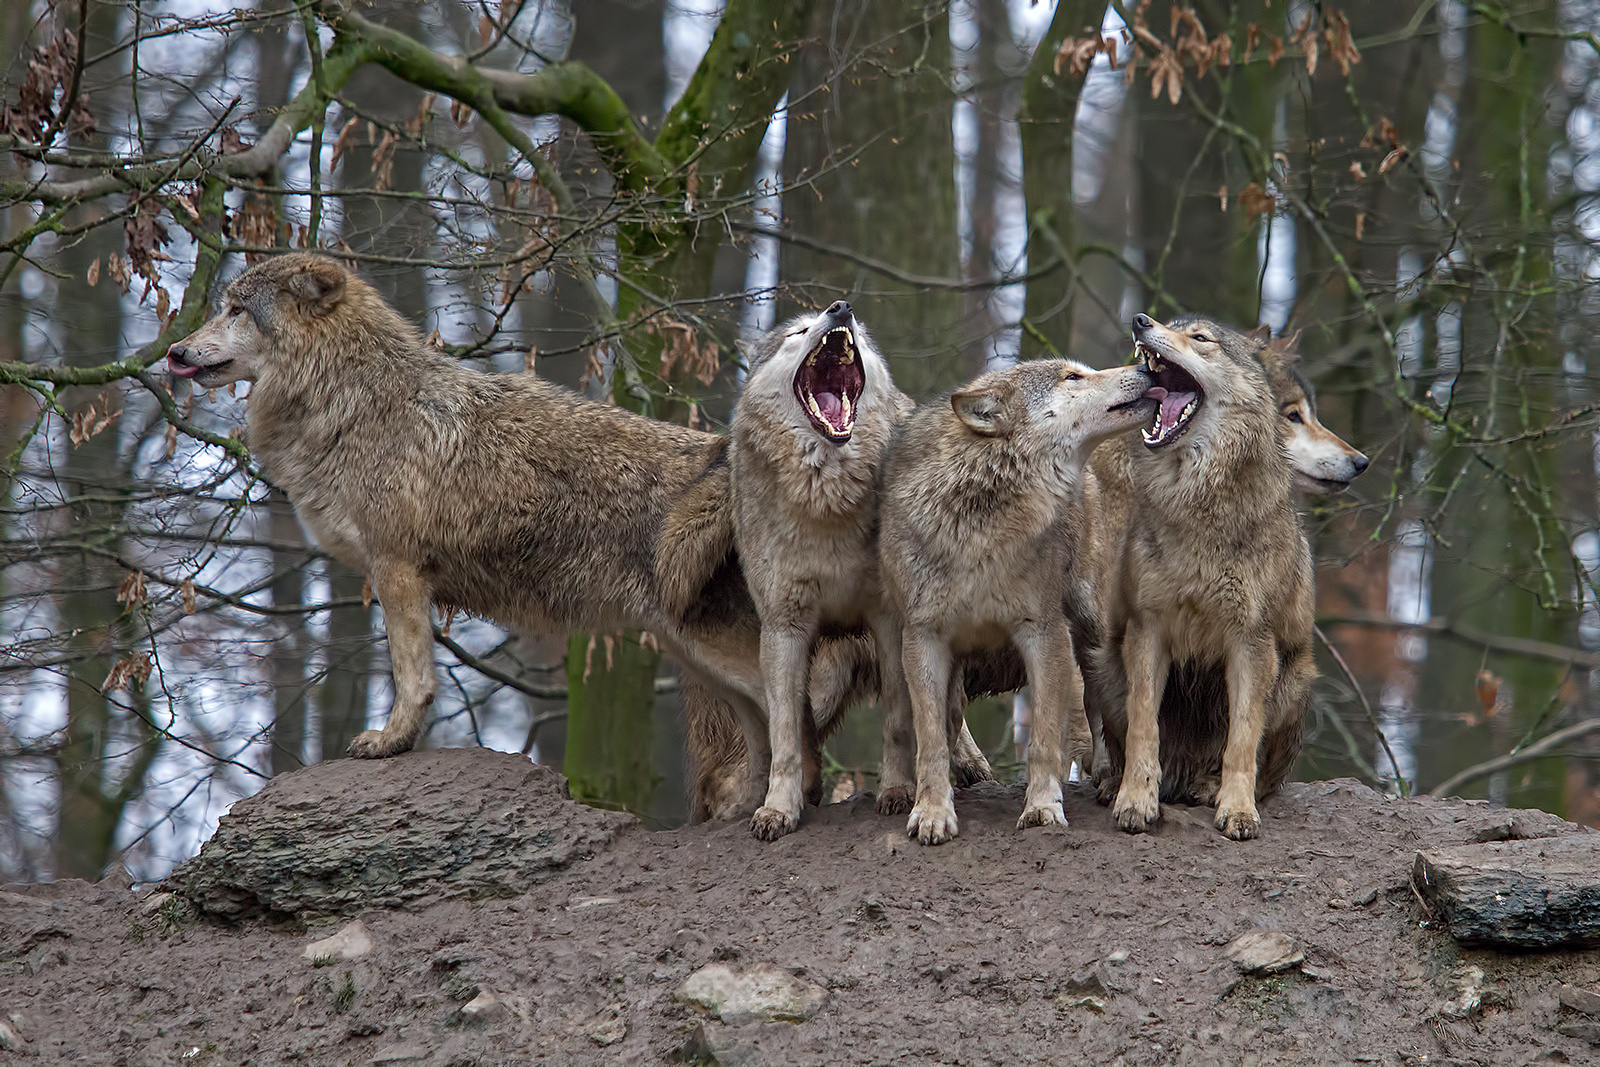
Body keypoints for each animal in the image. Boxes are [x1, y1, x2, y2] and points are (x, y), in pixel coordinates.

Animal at [168, 252, 780, 783]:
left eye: (236, 310)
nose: (175, 350)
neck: (350, 401)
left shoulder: (396, 568)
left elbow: (412, 675)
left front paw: (391, 740)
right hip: (694, 658)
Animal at [876, 363, 1152, 844]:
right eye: (1072, 377)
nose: (1142, 365)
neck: (983, 529)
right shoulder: (924, 639)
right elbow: (931, 742)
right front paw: (931, 812)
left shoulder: (1043, 632)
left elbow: (1043, 741)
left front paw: (1042, 807)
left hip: (1090, 632)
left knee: (1096, 705)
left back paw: (1109, 778)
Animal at [1094, 315, 1318, 844]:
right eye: (1165, 324)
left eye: (1200, 338)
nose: (1140, 320)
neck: (1195, 499)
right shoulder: (1147, 631)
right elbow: (1144, 728)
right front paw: (1136, 800)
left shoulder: (1252, 641)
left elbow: (1242, 740)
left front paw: (1236, 810)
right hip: (1106, 665)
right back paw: (1116, 784)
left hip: (1295, 678)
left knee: (1265, 775)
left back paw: (1208, 787)